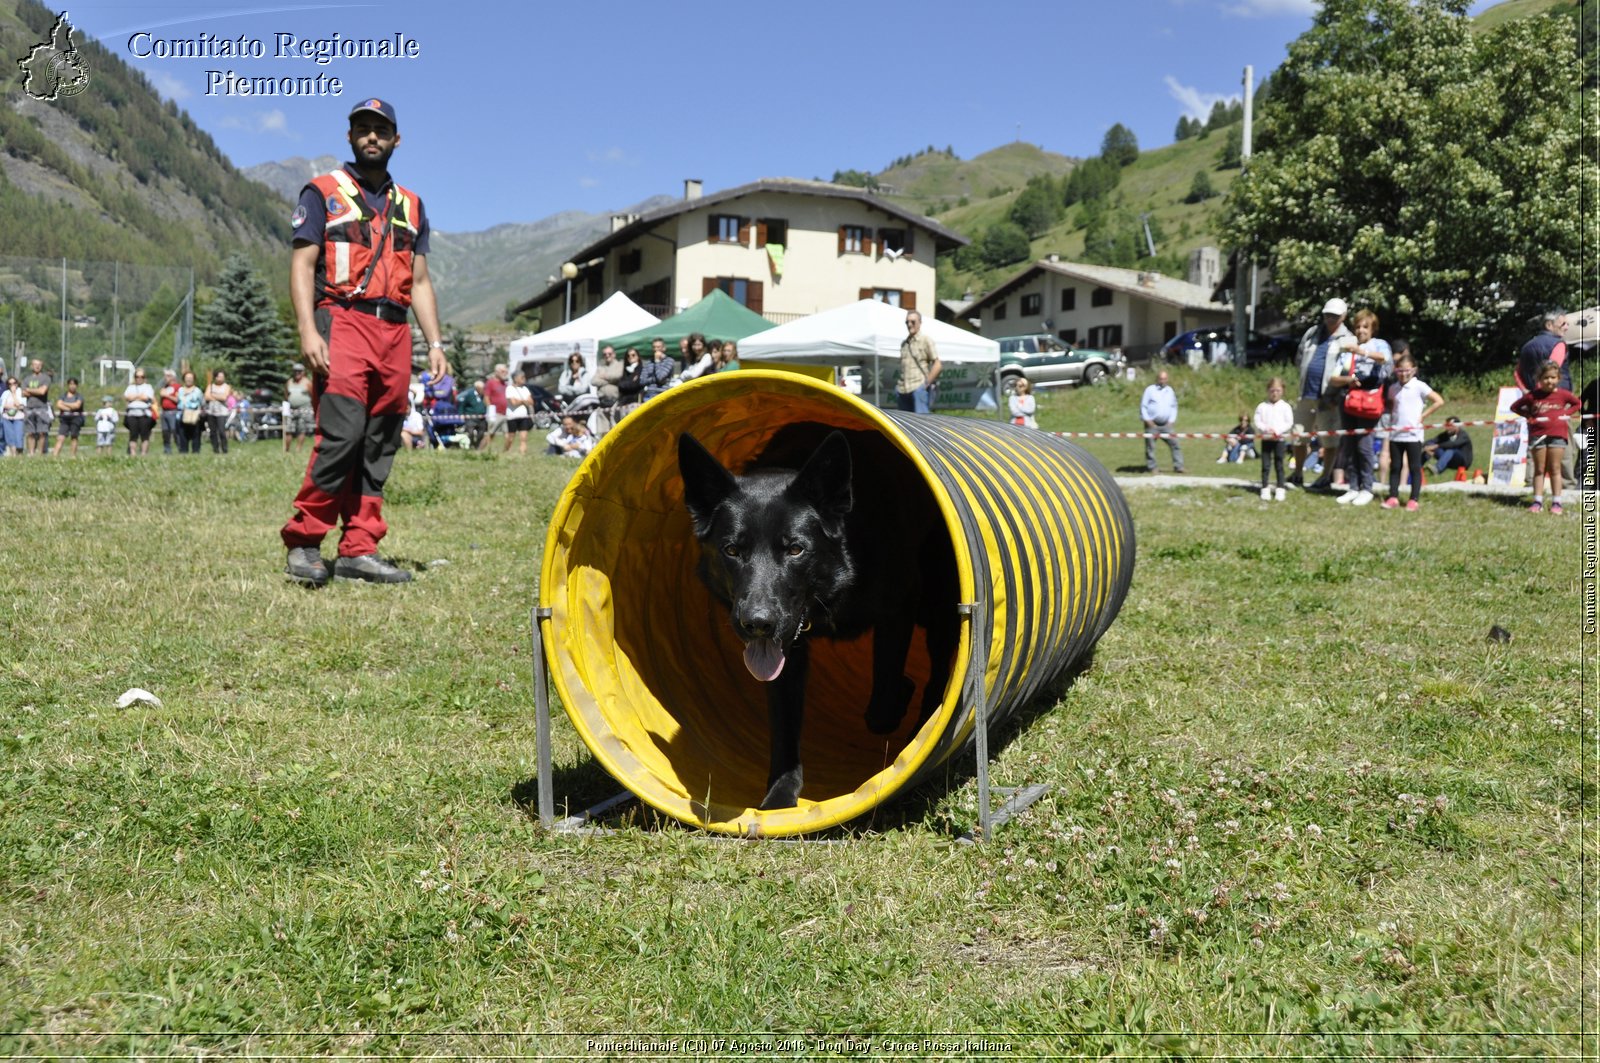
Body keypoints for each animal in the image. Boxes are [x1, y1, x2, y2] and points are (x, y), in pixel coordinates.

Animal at [672, 429, 953, 810]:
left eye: (795, 549)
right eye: (732, 550)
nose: (757, 623)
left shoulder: (899, 608)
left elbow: (881, 704)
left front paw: (901, 700)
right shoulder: (785, 656)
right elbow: (784, 725)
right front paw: (779, 795)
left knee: (939, 672)